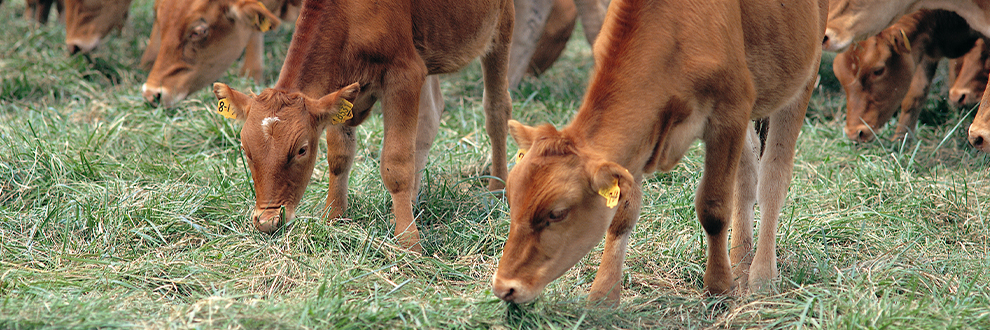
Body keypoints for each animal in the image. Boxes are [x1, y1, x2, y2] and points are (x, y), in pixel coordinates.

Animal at [213, 0, 516, 250]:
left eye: (301, 150)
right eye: (246, 150)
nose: (267, 221)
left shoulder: (404, 74)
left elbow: (395, 164)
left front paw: (409, 242)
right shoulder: (341, 89)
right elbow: (339, 157)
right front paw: (332, 218)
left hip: (501, 25)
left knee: (496, 109)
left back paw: (497, 189)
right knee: (430, 116)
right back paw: (413, 201)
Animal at [494, 0, 828, 306]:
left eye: (557, 213)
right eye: (511, 199)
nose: (504, 287)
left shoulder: (730, 112)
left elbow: (714, 207)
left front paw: (718, 287)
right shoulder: (641, 134)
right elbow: (622, 216)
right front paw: (603, 298)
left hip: (803, 74)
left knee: (773, 176)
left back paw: (762, 276)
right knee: (746, 175)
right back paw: (741, 261)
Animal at [824, 0, 990, 152]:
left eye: (878, 70)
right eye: (839, 74)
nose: (855, 133)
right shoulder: (924, 50)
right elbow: (915, 95)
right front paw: (901, 139)